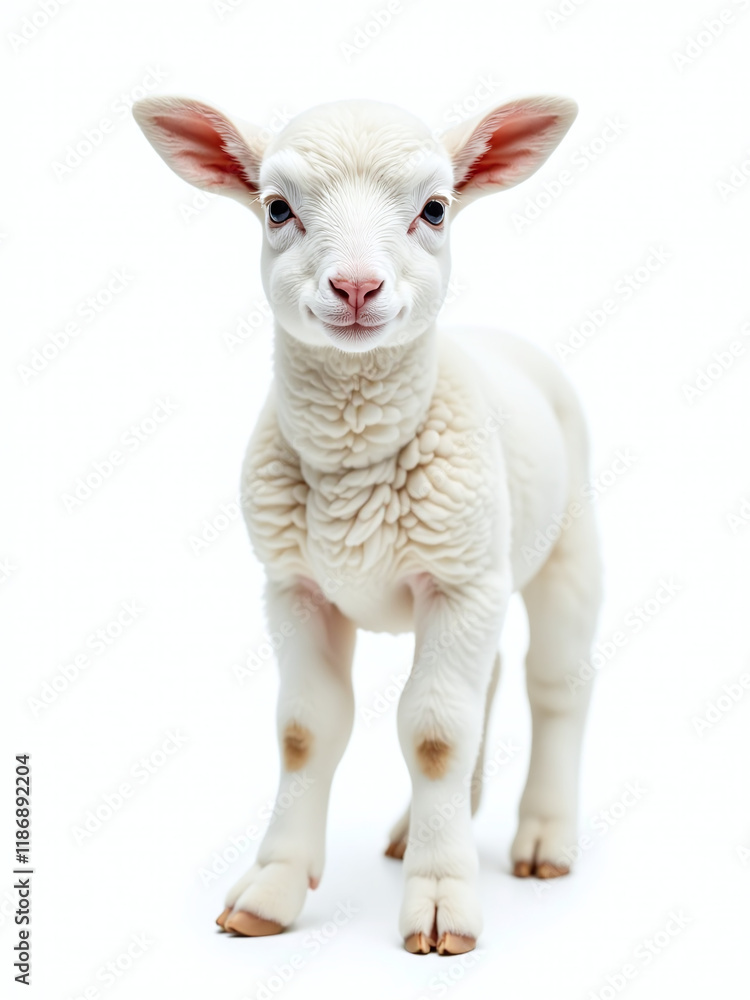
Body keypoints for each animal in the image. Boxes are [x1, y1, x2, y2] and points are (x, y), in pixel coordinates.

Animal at [133, 93, 602, 955]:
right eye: (276, 208)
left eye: (435, 209)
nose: (356, 286)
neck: (356, 459)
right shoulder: (295, 587)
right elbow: (306, 729)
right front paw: (272, 890)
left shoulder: (459, 583)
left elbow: (434, 734)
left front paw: (443, 898)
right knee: (486, 678)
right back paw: (419, 827)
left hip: (563, 548)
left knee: (555, 683)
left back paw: (544, 837)